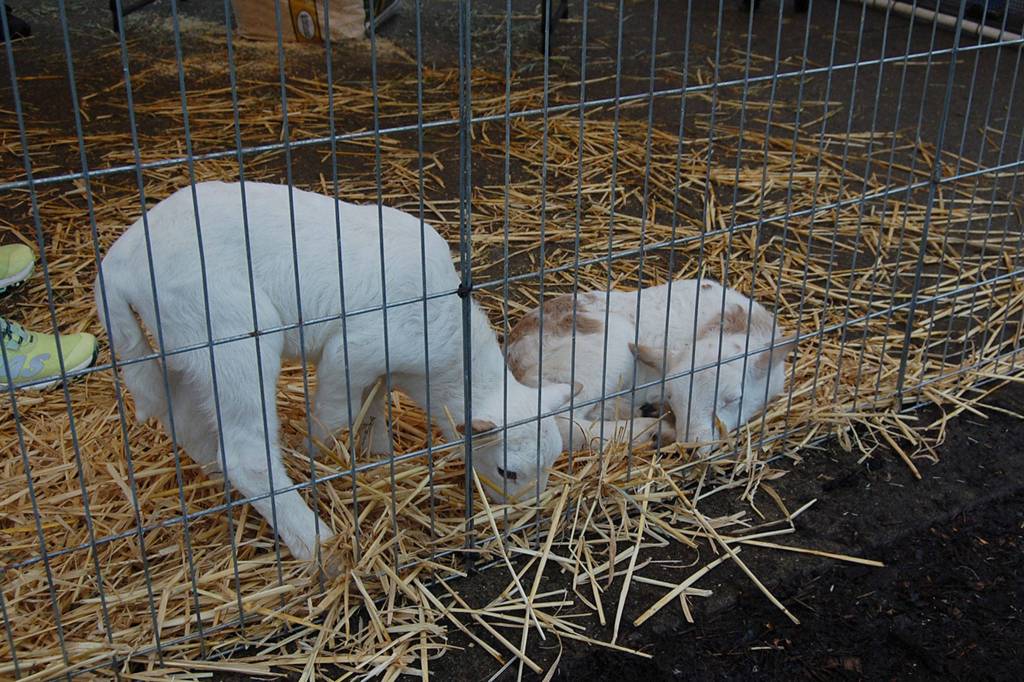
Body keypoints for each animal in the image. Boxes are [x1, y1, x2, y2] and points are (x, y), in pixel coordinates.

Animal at [96, 181, 575, 562]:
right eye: (508, 472)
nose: (525, 517)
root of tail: (118, 265)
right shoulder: (350, 352)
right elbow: (333, 415)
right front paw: (318, 457)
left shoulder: (381, 366)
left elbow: (375, 405)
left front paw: (379, 453)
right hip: (228, 329)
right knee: (247, 456)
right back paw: (317, 546)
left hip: (185, 343)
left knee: (182, 414)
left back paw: (218, 477)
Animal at [505, 279, 796, 453]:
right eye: (673, 397)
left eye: (734, 398)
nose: (689, 447)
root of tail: (513, 353)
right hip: (596, 358)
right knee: (562, 422)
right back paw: (653, 431)